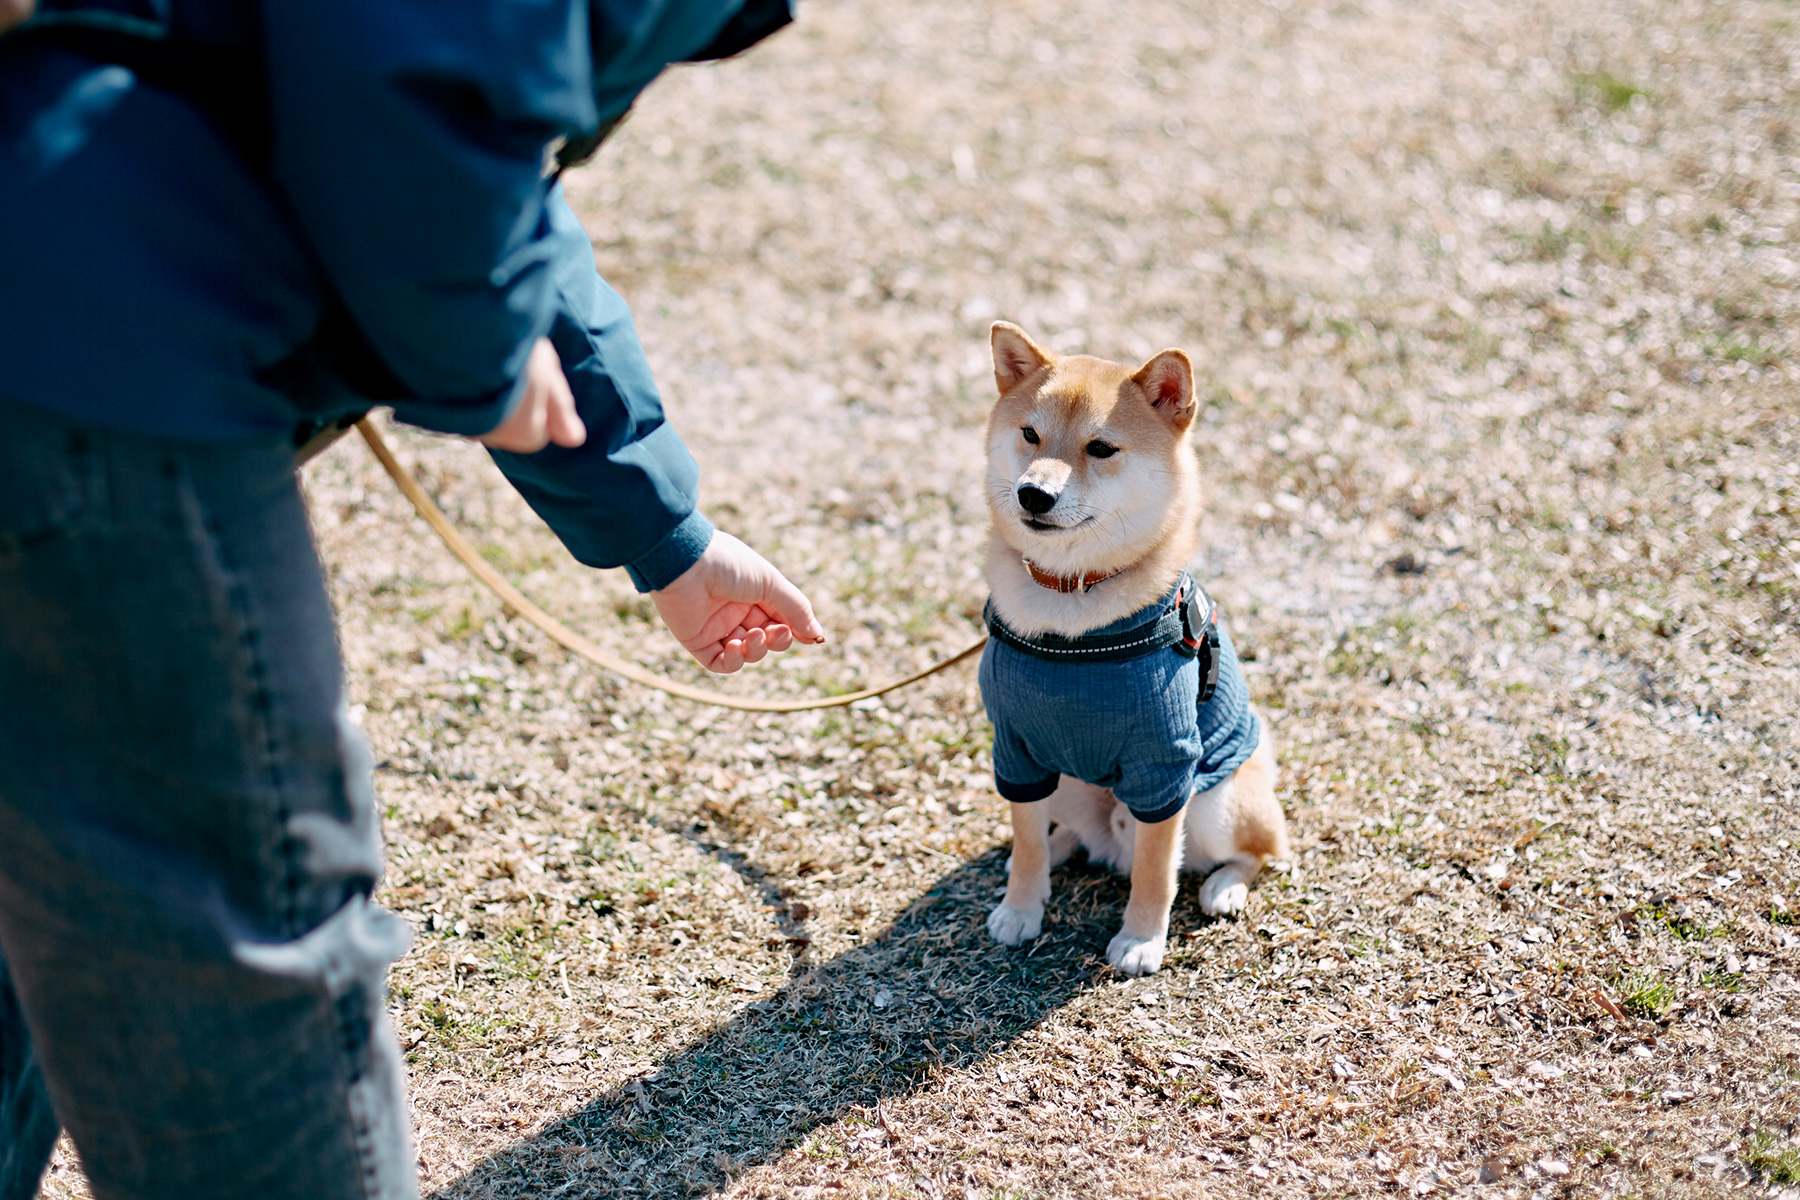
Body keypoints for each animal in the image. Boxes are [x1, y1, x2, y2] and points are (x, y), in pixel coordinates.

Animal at [979, 322, 1288, 978]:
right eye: (1029, 435)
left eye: (1101, 448)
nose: (1032, 494)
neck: (1071, 596)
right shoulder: (1015, 749)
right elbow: (1026, 842)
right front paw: (1020, 907)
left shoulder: (1165, 765)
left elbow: (1155, 869)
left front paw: (1142, 939)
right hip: (1068, 783)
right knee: (1063, 835)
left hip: (1216, 801)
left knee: (1261, 849)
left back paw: (1224, 887)